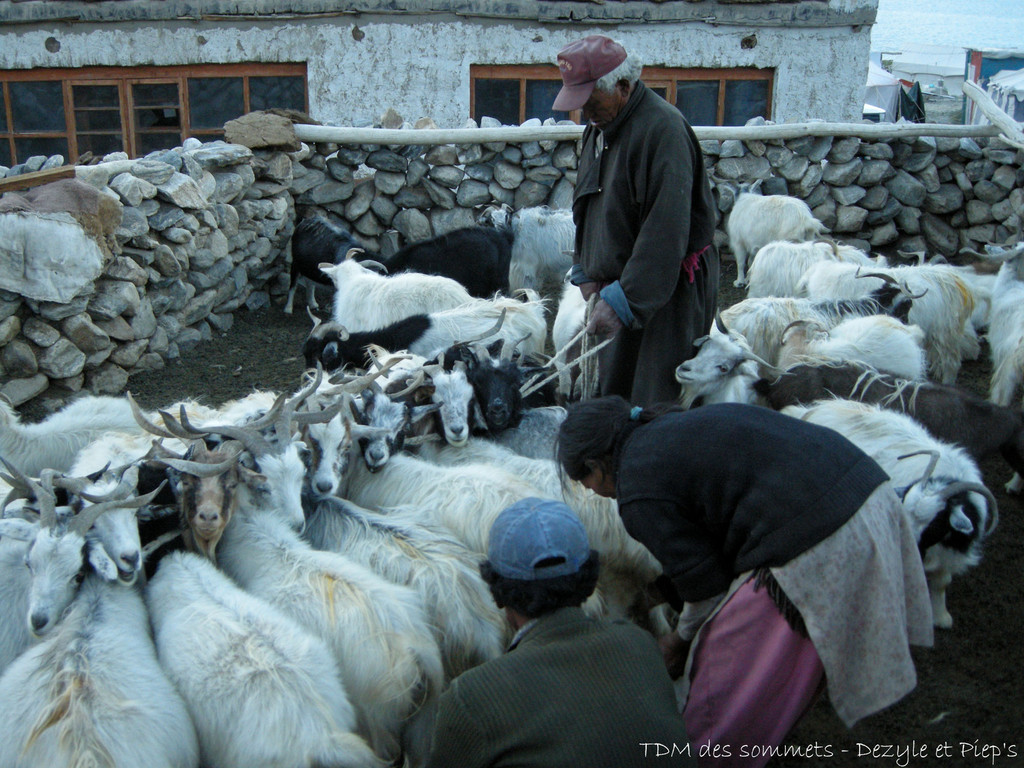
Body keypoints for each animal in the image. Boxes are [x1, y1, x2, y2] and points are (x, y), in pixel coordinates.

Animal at [778, 397, 995, 630]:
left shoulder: (948, 553)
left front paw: (941, 616)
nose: (908, 546)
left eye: (936, 523)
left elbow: (942, 581)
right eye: (903, 508)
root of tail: (812, 411)